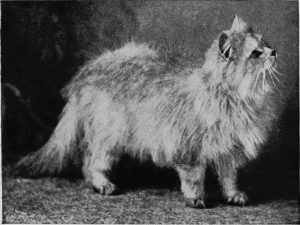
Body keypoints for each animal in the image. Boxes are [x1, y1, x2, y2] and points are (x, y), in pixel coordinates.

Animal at [15, 14, 282, 208]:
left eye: (266, 44)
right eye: (256, 54)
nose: (274, 52)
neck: (238, 98)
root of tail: (87, 71)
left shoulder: (229, 151)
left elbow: (228, 178)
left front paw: (233, 195)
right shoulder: (188, 149)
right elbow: (194, 178)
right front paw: (195, 198)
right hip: (109, 135)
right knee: (90, 162)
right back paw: (103, 184)